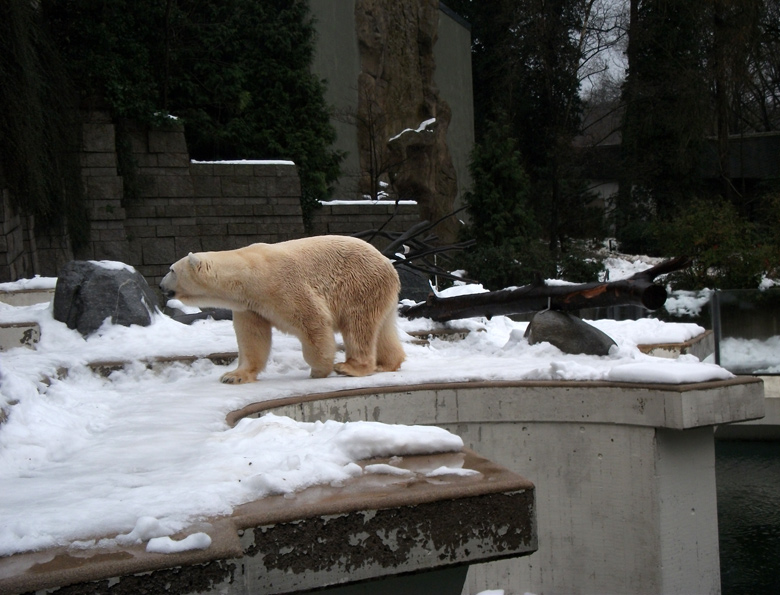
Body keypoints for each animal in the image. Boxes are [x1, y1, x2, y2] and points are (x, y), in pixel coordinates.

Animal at [157, 237, 402, 386]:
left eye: (171, 270)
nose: (160, 286)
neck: (247, 274)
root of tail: (387, 262)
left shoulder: (282, 286)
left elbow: (313, 321)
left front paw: (319, 370)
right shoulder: (250, 306)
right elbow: (252, 338)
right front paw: (233, 376)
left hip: (359, 285)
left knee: (358, 325)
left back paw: (350, 367)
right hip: (379, 293)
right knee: (383, 329)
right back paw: (387, 363)